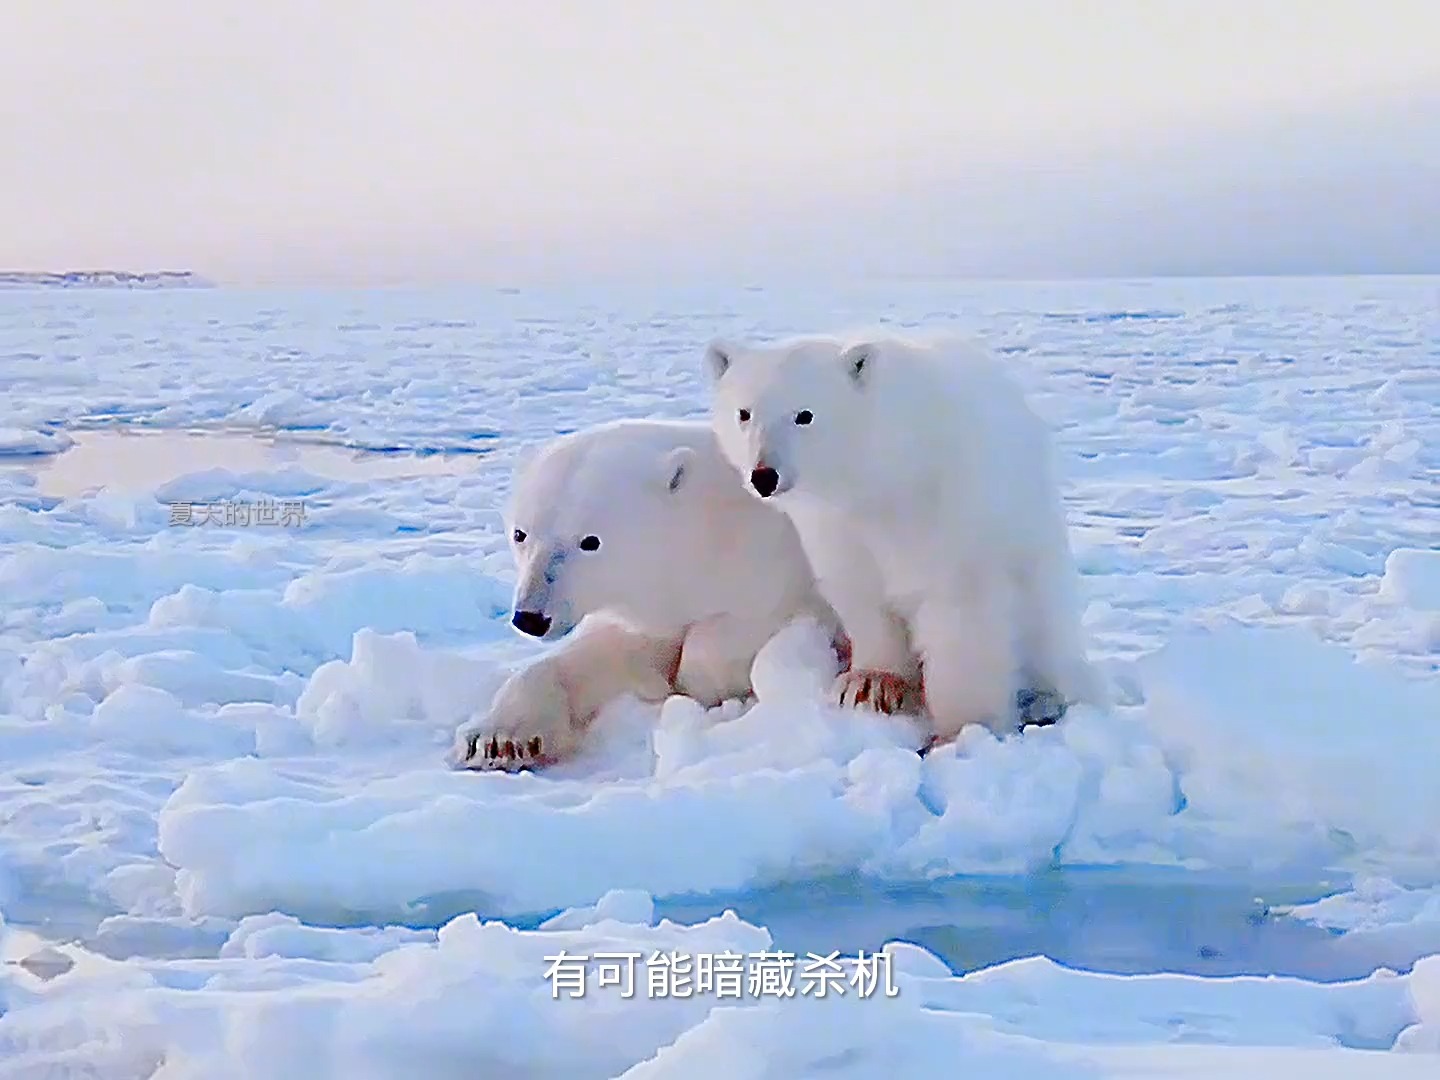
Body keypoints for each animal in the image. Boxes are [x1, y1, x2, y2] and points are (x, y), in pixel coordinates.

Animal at [455, 417, 840, 771]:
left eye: (590, 541)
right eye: (520, 534)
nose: (531, 618)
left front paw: (699, 678)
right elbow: (607, 654)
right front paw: (496, 740)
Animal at [702, 329, 1105, 754]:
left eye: (805, 415)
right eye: (744, 413)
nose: (764, 475)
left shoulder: (949, 516)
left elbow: (962, 616)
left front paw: (959, 731)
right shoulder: (836, 529)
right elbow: (862, 595)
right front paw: (869, 685)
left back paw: (1049, 700)